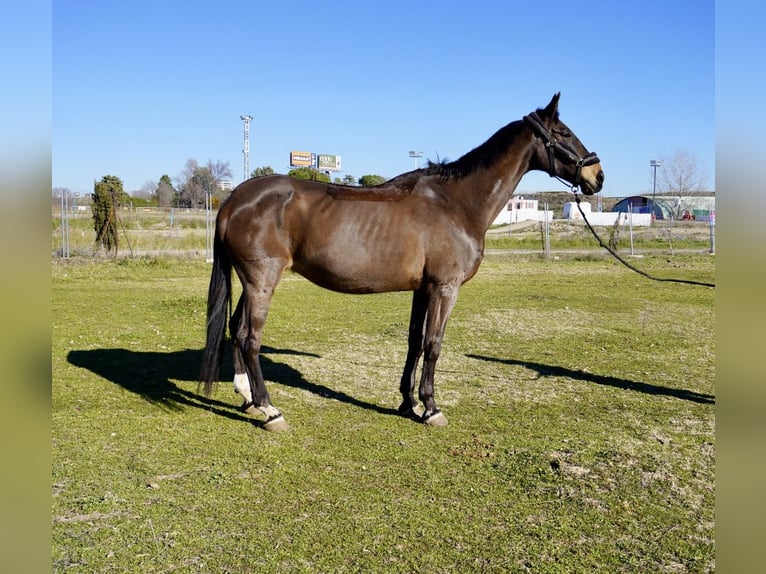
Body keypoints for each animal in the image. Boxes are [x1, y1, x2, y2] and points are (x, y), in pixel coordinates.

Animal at [200, 93, 608, 432]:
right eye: (564, 132)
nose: (598, 175)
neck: (456, 203)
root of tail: (235, 199)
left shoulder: (422, 289)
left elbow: (414, 342)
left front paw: (407, 402)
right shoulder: (445, 287)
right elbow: (434, 344)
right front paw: (431, 407)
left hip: (251, 281)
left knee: (236, 329)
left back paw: (248, 398)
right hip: (262, 280)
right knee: (250, 338)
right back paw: (270, 410)